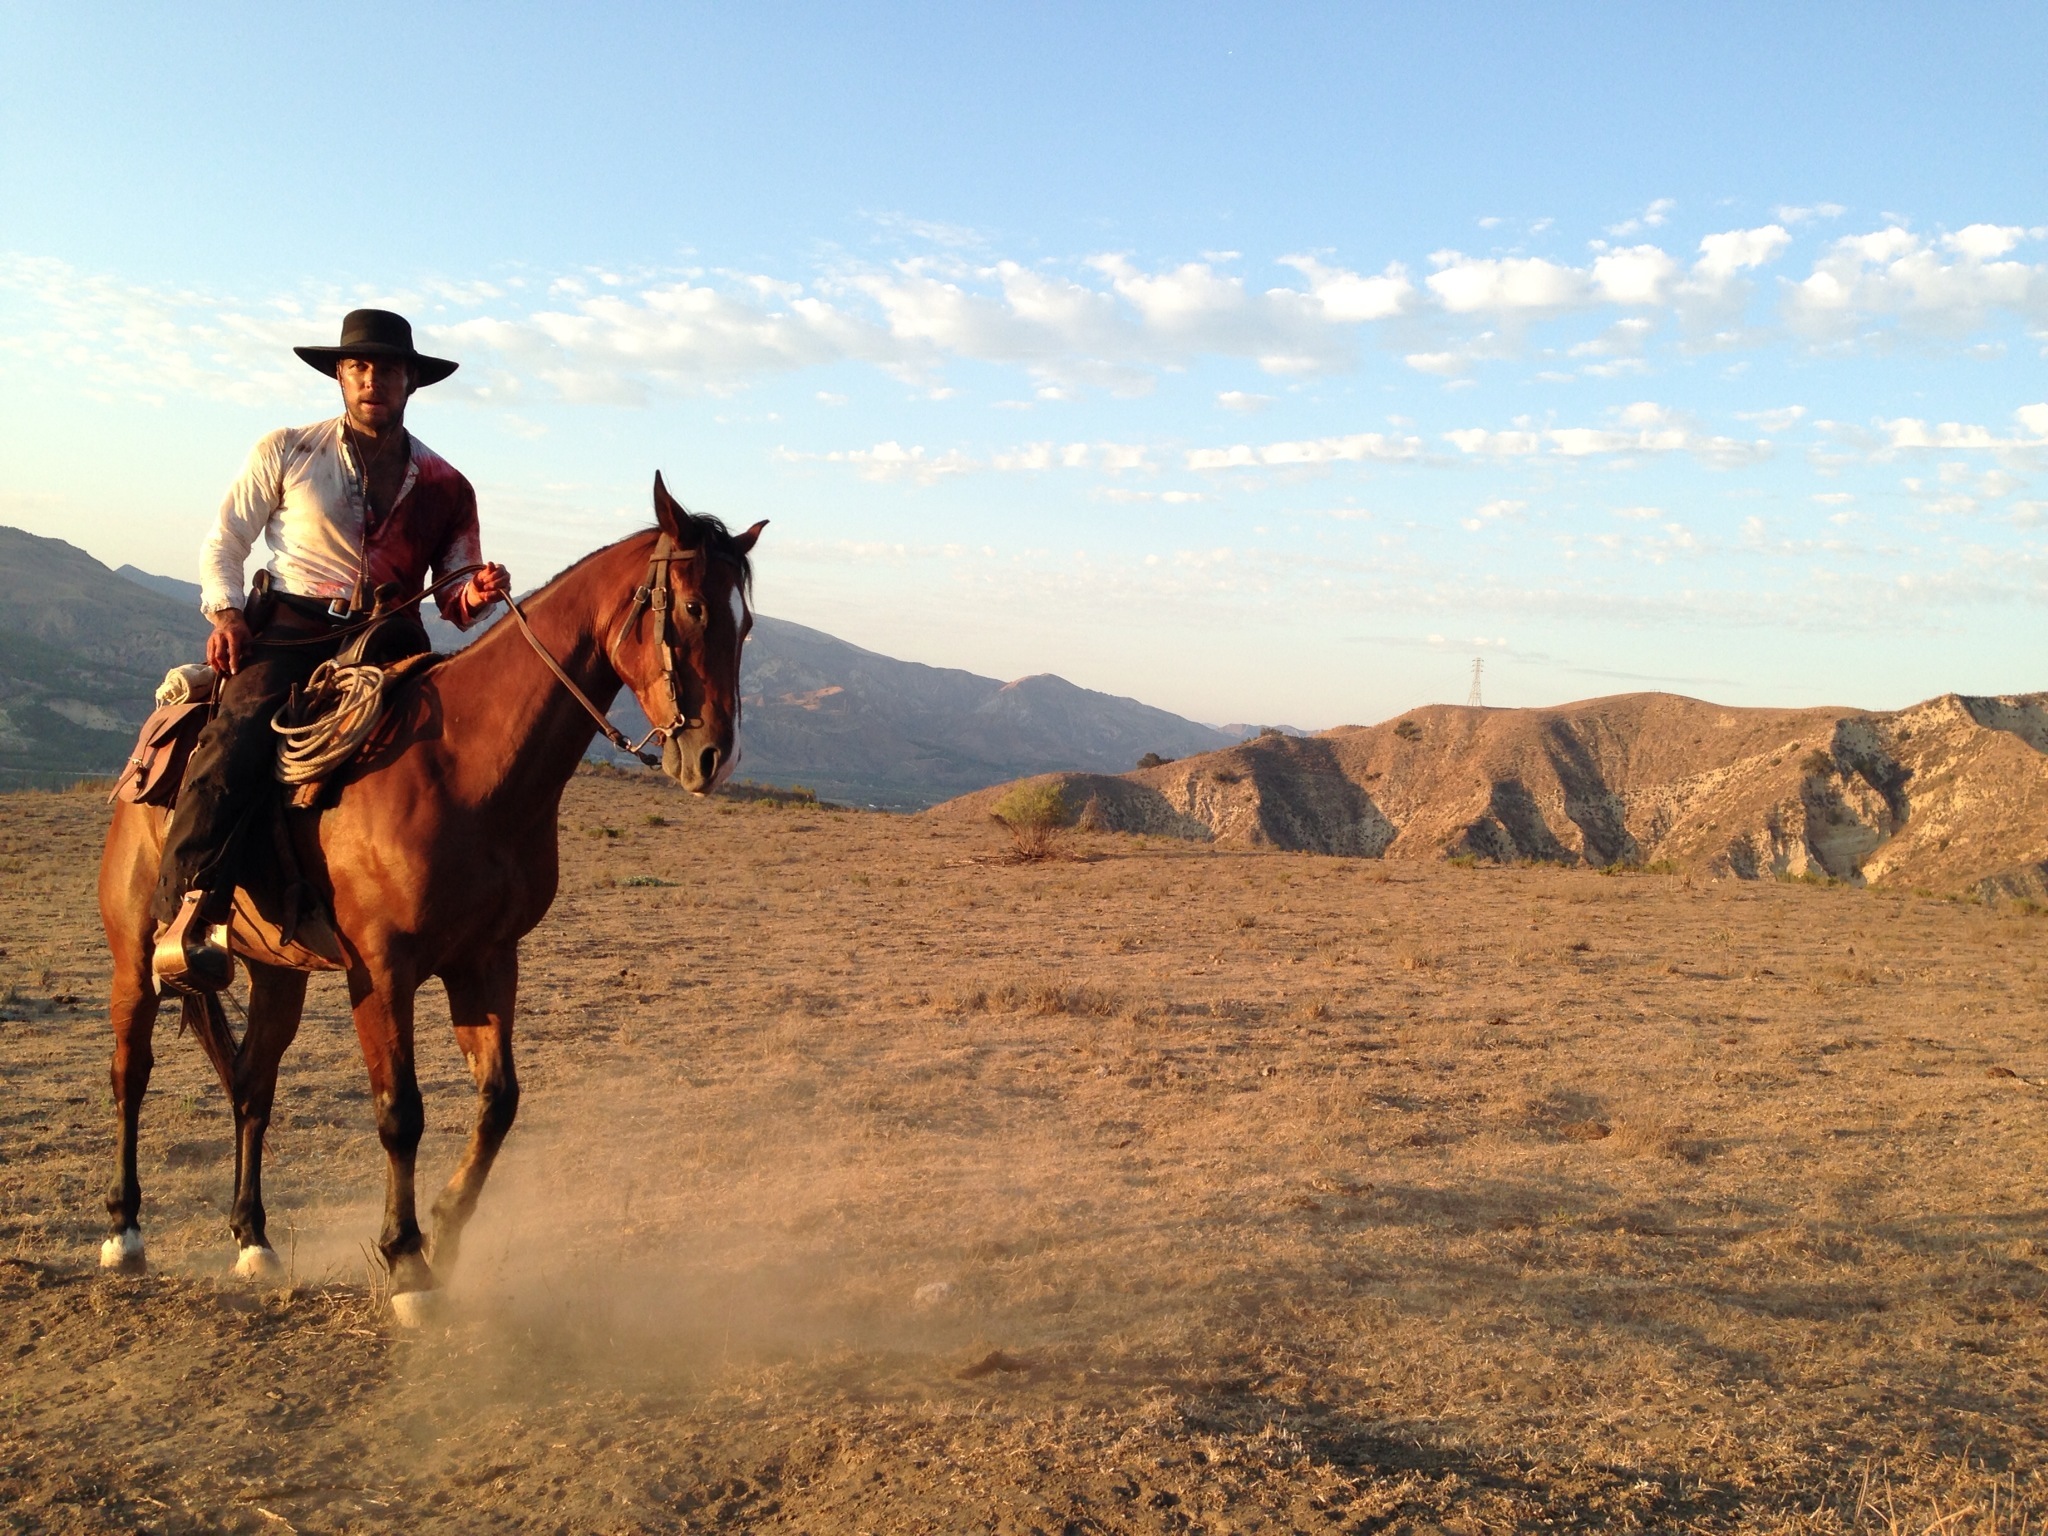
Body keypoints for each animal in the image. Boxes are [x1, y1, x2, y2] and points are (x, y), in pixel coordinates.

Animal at [97, 481, 770, 1310]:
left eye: (745, 622)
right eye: (694, 608)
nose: (714, 756)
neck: (464, 766)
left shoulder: (486, 959)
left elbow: (499, 1100)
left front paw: (446, 1233)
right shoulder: (381, 972)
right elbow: (400, 1113)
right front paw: (407, 1263)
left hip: (277, 971)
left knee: (254, 1082)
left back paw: (254, 1241)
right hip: (135, 954)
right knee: (131, 1072)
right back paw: (125, 1233)